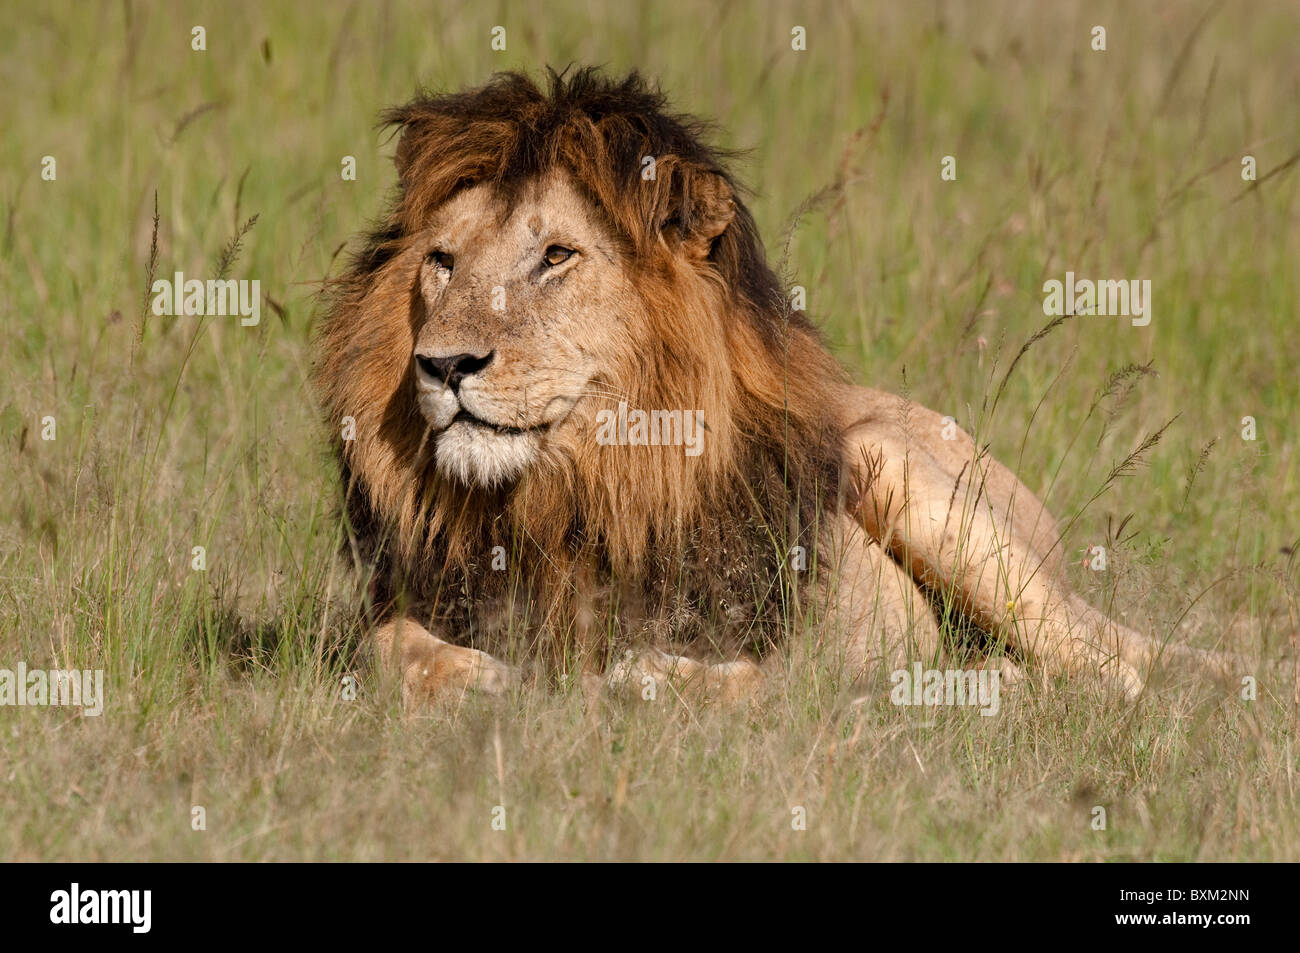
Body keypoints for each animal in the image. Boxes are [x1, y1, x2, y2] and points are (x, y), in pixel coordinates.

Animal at [314, 68, 1227, 707]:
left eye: (556, 256)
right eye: (443, 260)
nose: (443, 364)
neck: (568, 491)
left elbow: (757, 680)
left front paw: (648, 685)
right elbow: (379, 646)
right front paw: (476, 681)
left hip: (905, 475)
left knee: (1114, 673)